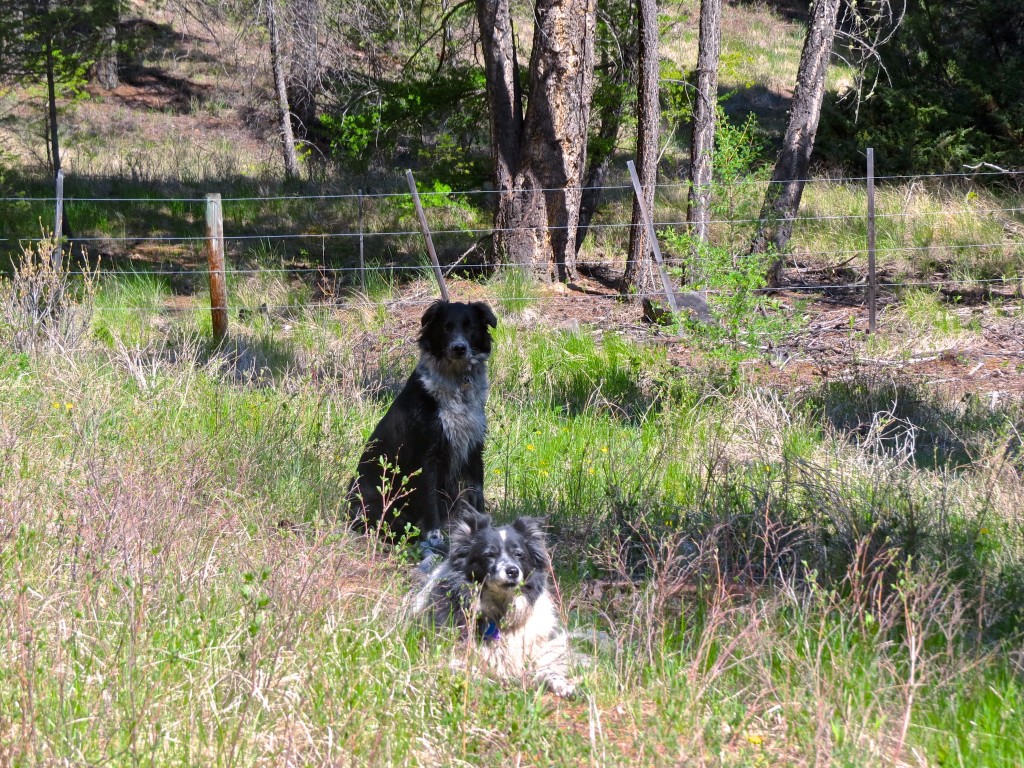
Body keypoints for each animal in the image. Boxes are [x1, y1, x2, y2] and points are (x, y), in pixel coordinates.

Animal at [348, 296, 499, 544]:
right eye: (446, 327)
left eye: (470, 327)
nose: (459, 348)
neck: (457, 383)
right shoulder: (429, 456)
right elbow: (431, 503)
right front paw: (434, 539)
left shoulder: (473, 449)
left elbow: (477, 495)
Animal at [413, 514, 577, 700]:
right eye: (489, 554)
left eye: (519, 555)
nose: (513, 571)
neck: (500, 611)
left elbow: (547, 668)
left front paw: (564, 685)